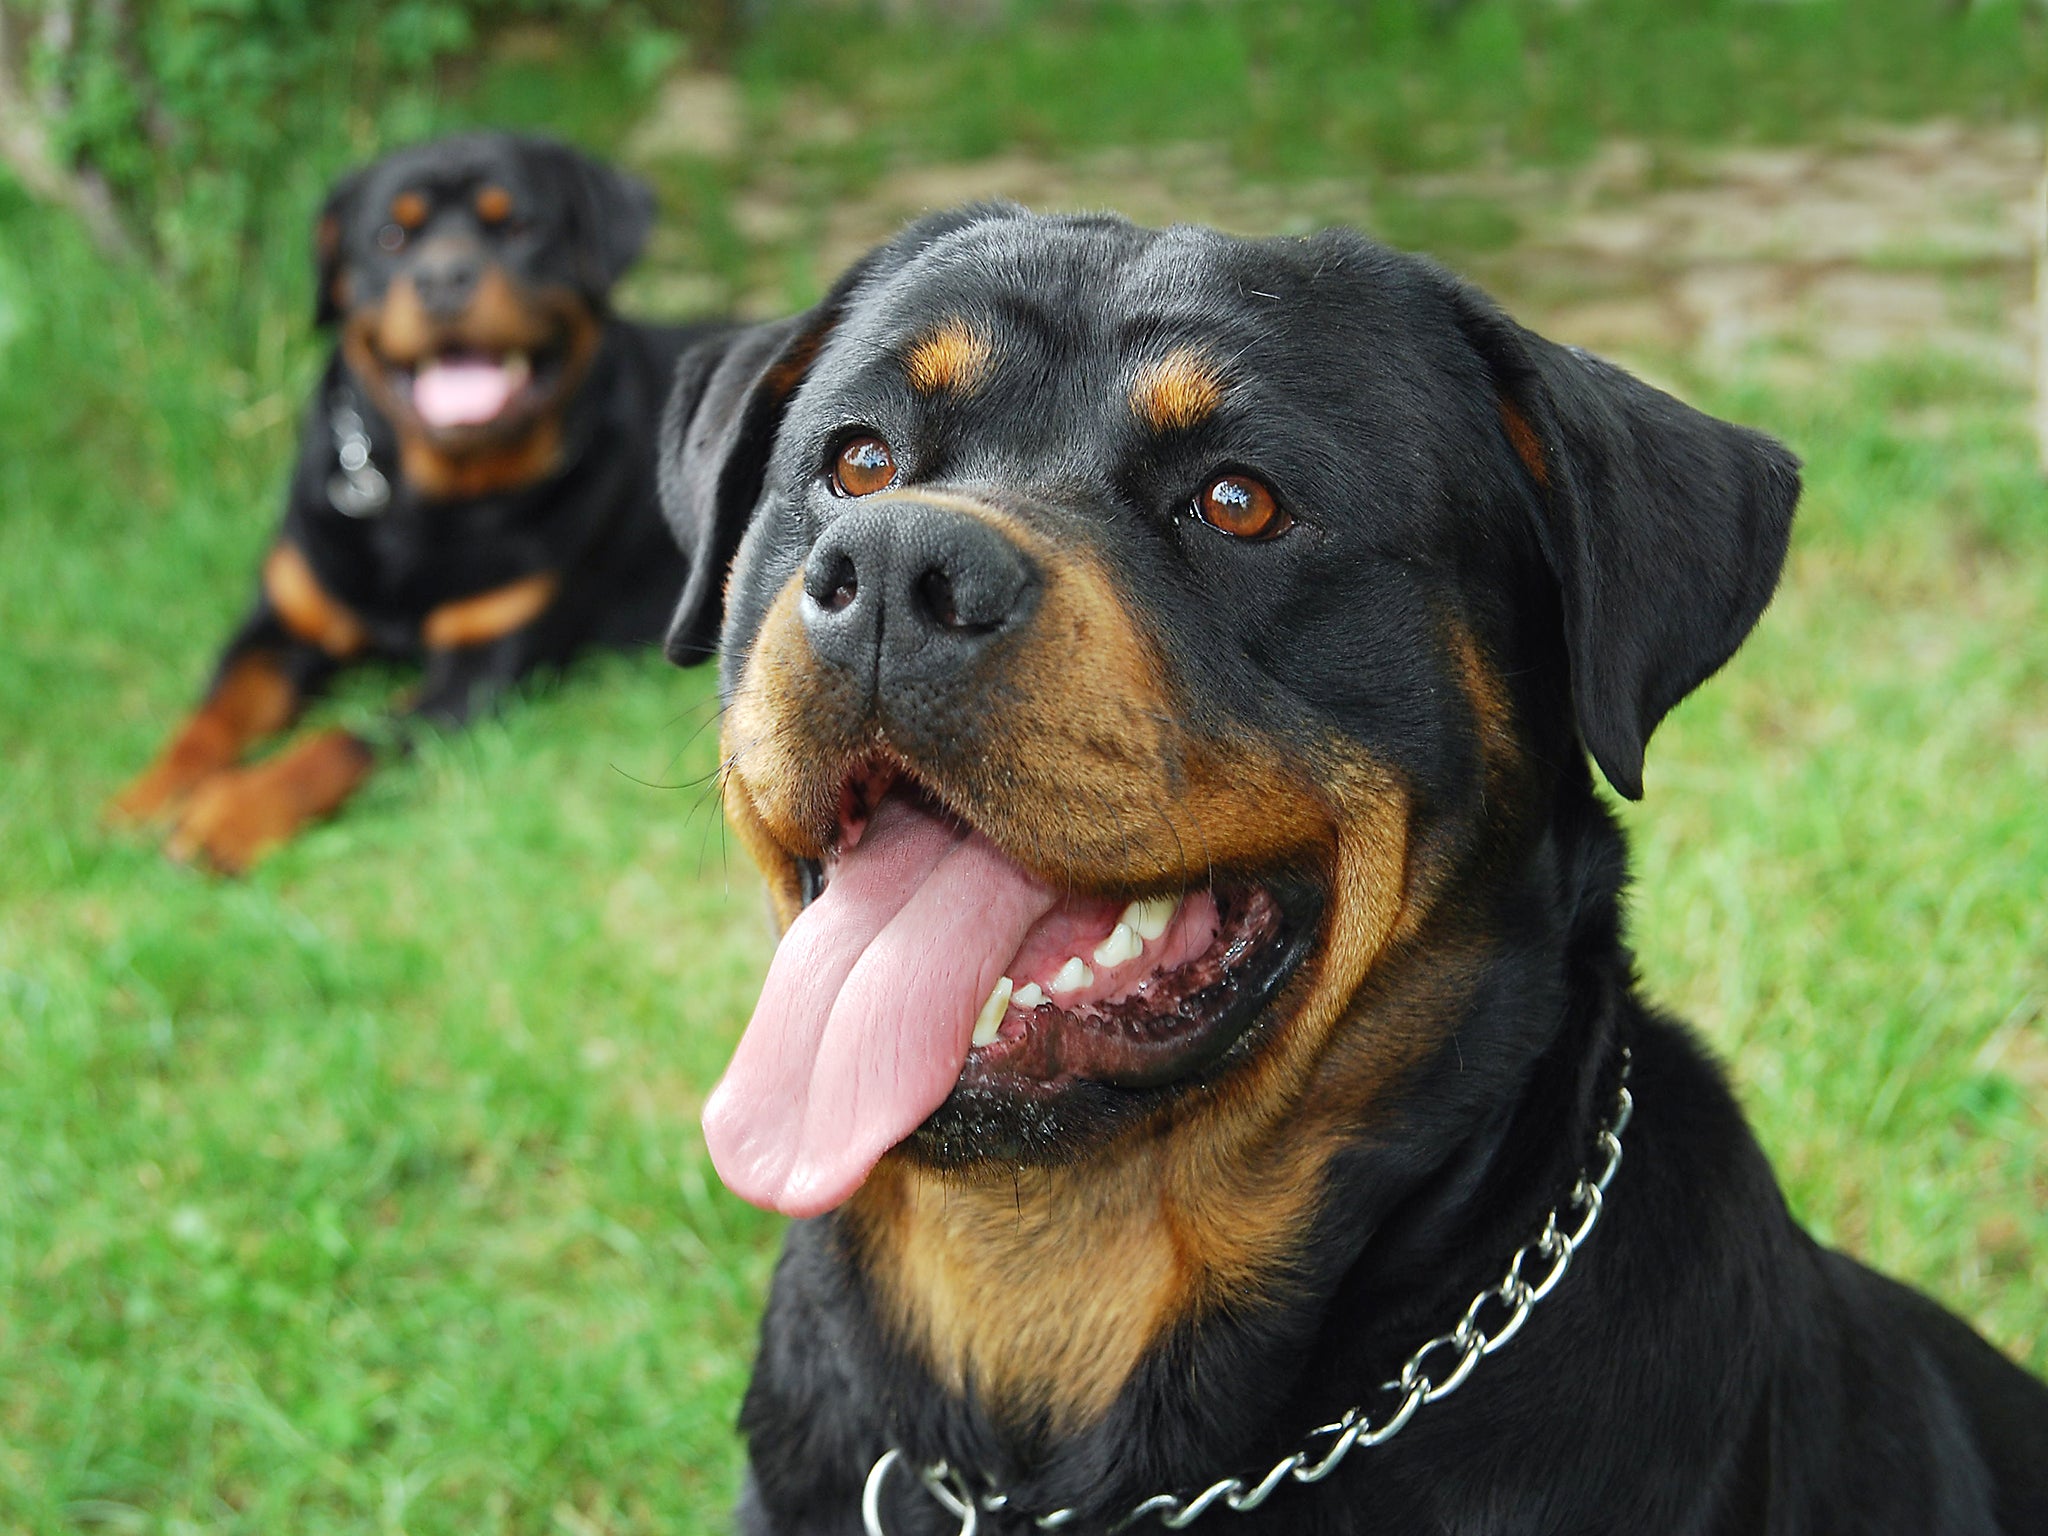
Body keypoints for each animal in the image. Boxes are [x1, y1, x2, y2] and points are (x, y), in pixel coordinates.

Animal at [119, 132, 716, 872]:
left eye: (518, 227)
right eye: (390, 236)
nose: (444, 279)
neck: (429, 504)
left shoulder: (474, 674)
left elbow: (347, 737)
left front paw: (231, 812)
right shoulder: (283, 620)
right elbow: (212, 715)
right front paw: (150, 795)